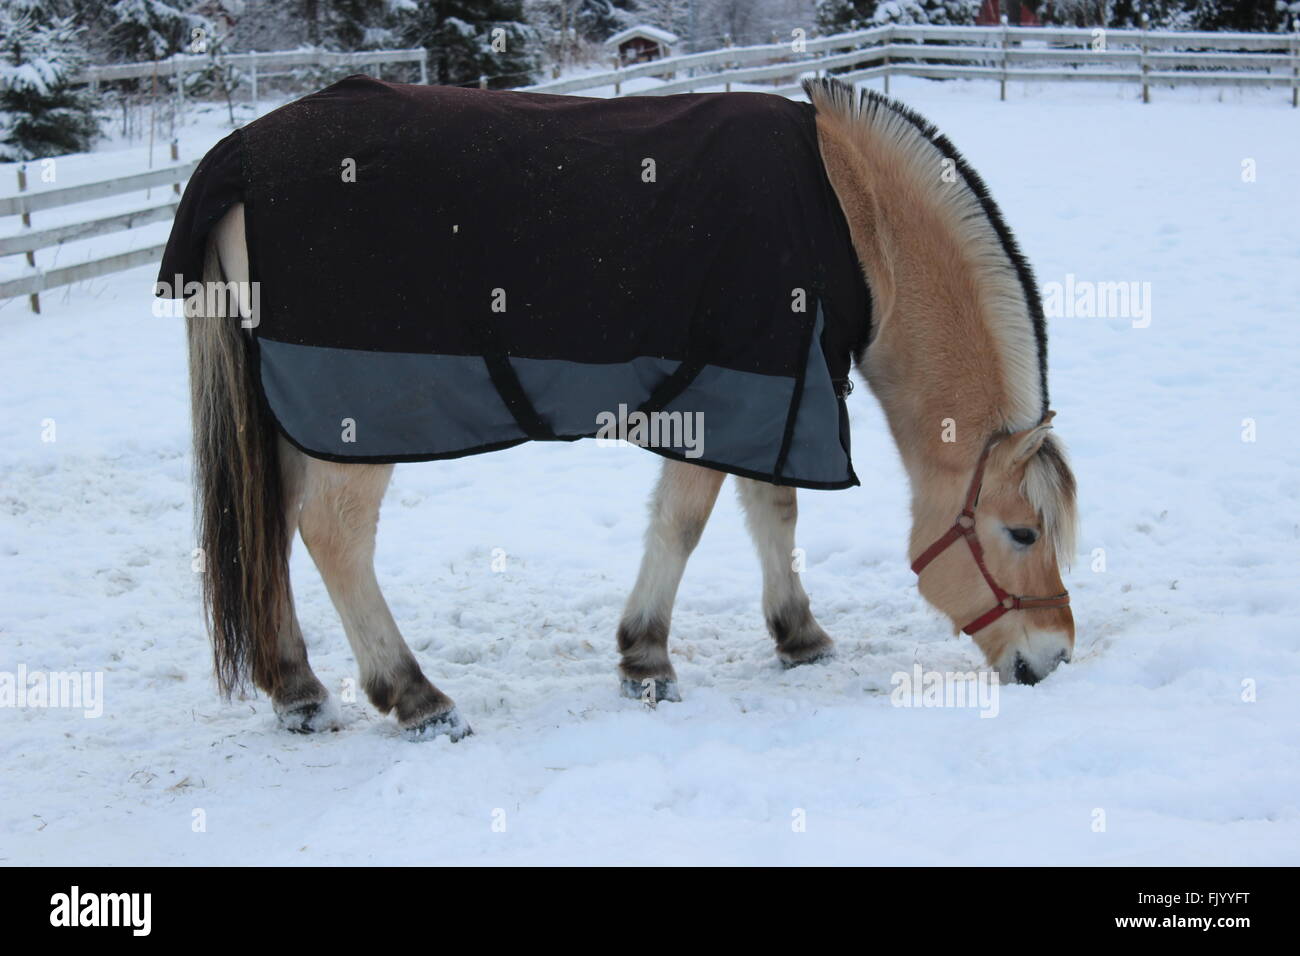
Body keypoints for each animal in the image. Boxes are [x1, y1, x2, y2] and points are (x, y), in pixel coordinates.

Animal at [178, 80, 1081, 738]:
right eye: (1021, 533)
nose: (1055, 657)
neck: (854, 217)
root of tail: (240, 153)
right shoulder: (726, 394)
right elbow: (685, 523)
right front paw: (647, 657)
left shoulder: (773, 394)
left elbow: (773, 510)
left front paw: (798, 635)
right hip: (354, 419)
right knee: (330, 533)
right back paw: (414, 696)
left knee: (272, 526)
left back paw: (297, 689)